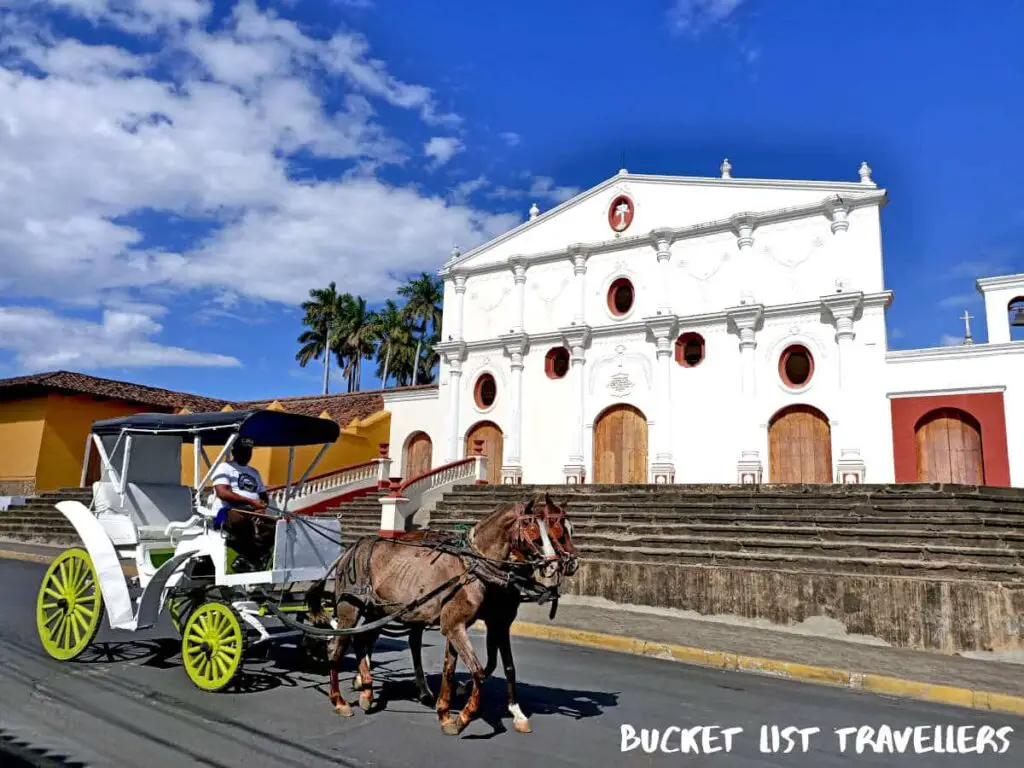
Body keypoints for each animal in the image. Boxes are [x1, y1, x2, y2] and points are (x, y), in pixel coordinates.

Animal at [303, 495, 577, 737]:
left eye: (555, 529)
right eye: (535, 528)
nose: (560, 563)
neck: (474, 565)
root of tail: (350, 549)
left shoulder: (466, 623)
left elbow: (454, 668)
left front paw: (446, 711)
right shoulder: (461, 625)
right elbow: (478, 670)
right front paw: (463, 717)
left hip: (377, 610)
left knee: (364, 642)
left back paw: (368, 691)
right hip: (350, 609)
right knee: (337, 647)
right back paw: (340, 700)